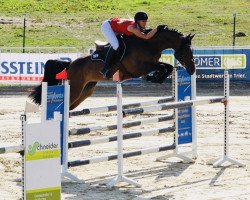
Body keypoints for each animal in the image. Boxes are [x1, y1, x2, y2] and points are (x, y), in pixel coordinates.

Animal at [29, 26, 195, 110]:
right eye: (186, 51)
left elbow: (166, 66)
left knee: (70, 108)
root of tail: (70, 64)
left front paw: (155, 78)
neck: (148, 43)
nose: (192, 70)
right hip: (75, 88)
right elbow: (163, 66)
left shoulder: (148, 65)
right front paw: (155, 77)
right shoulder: (138, 68)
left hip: (86, 90)